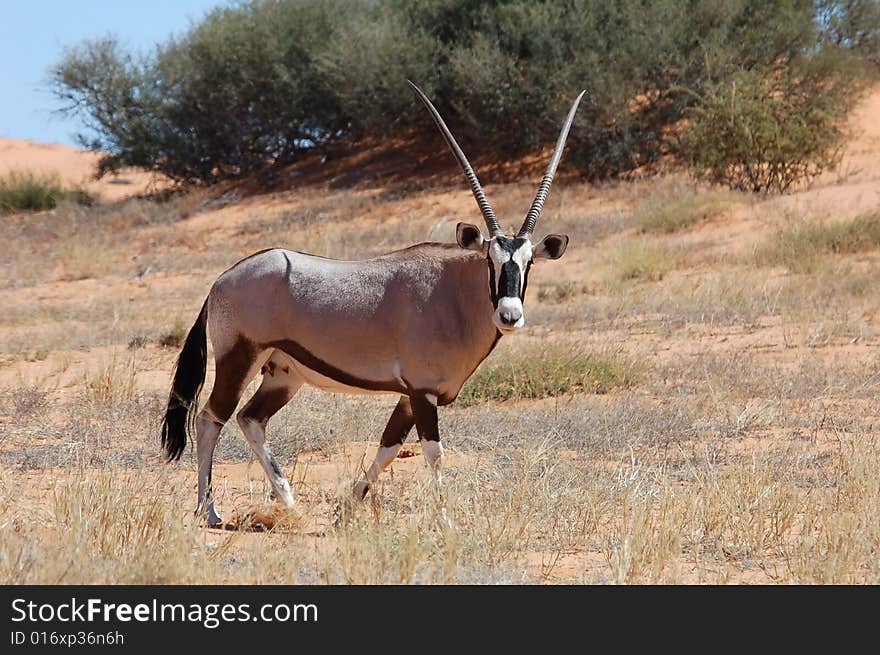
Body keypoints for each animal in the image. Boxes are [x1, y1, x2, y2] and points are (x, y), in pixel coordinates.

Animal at [162, 80, 584, 528]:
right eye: (490, 260)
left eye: (529, 261)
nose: (509, 314)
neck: (452, 294)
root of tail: (220, 282)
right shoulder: (422, 391)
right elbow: (433, 452)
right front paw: (445, 521)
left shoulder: (410, 395)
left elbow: (389, 446)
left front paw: (346, 508)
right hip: (238, 359)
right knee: (210, 419)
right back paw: (209, 510)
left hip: (283, 373)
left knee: (250, 418)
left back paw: (288, 501)